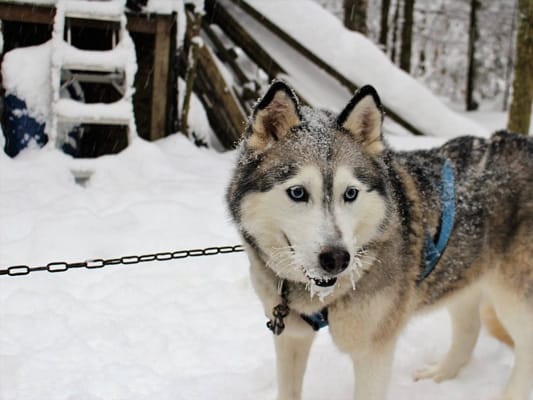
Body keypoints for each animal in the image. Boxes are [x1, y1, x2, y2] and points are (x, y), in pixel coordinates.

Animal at [225, 81, 532, 400]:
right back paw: (441, 374)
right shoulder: (291, 336)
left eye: (350, 193)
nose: (337, 258)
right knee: (469, 330)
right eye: (297, 192)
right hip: (462, 278)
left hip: (514, 298)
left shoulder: (373, 352)